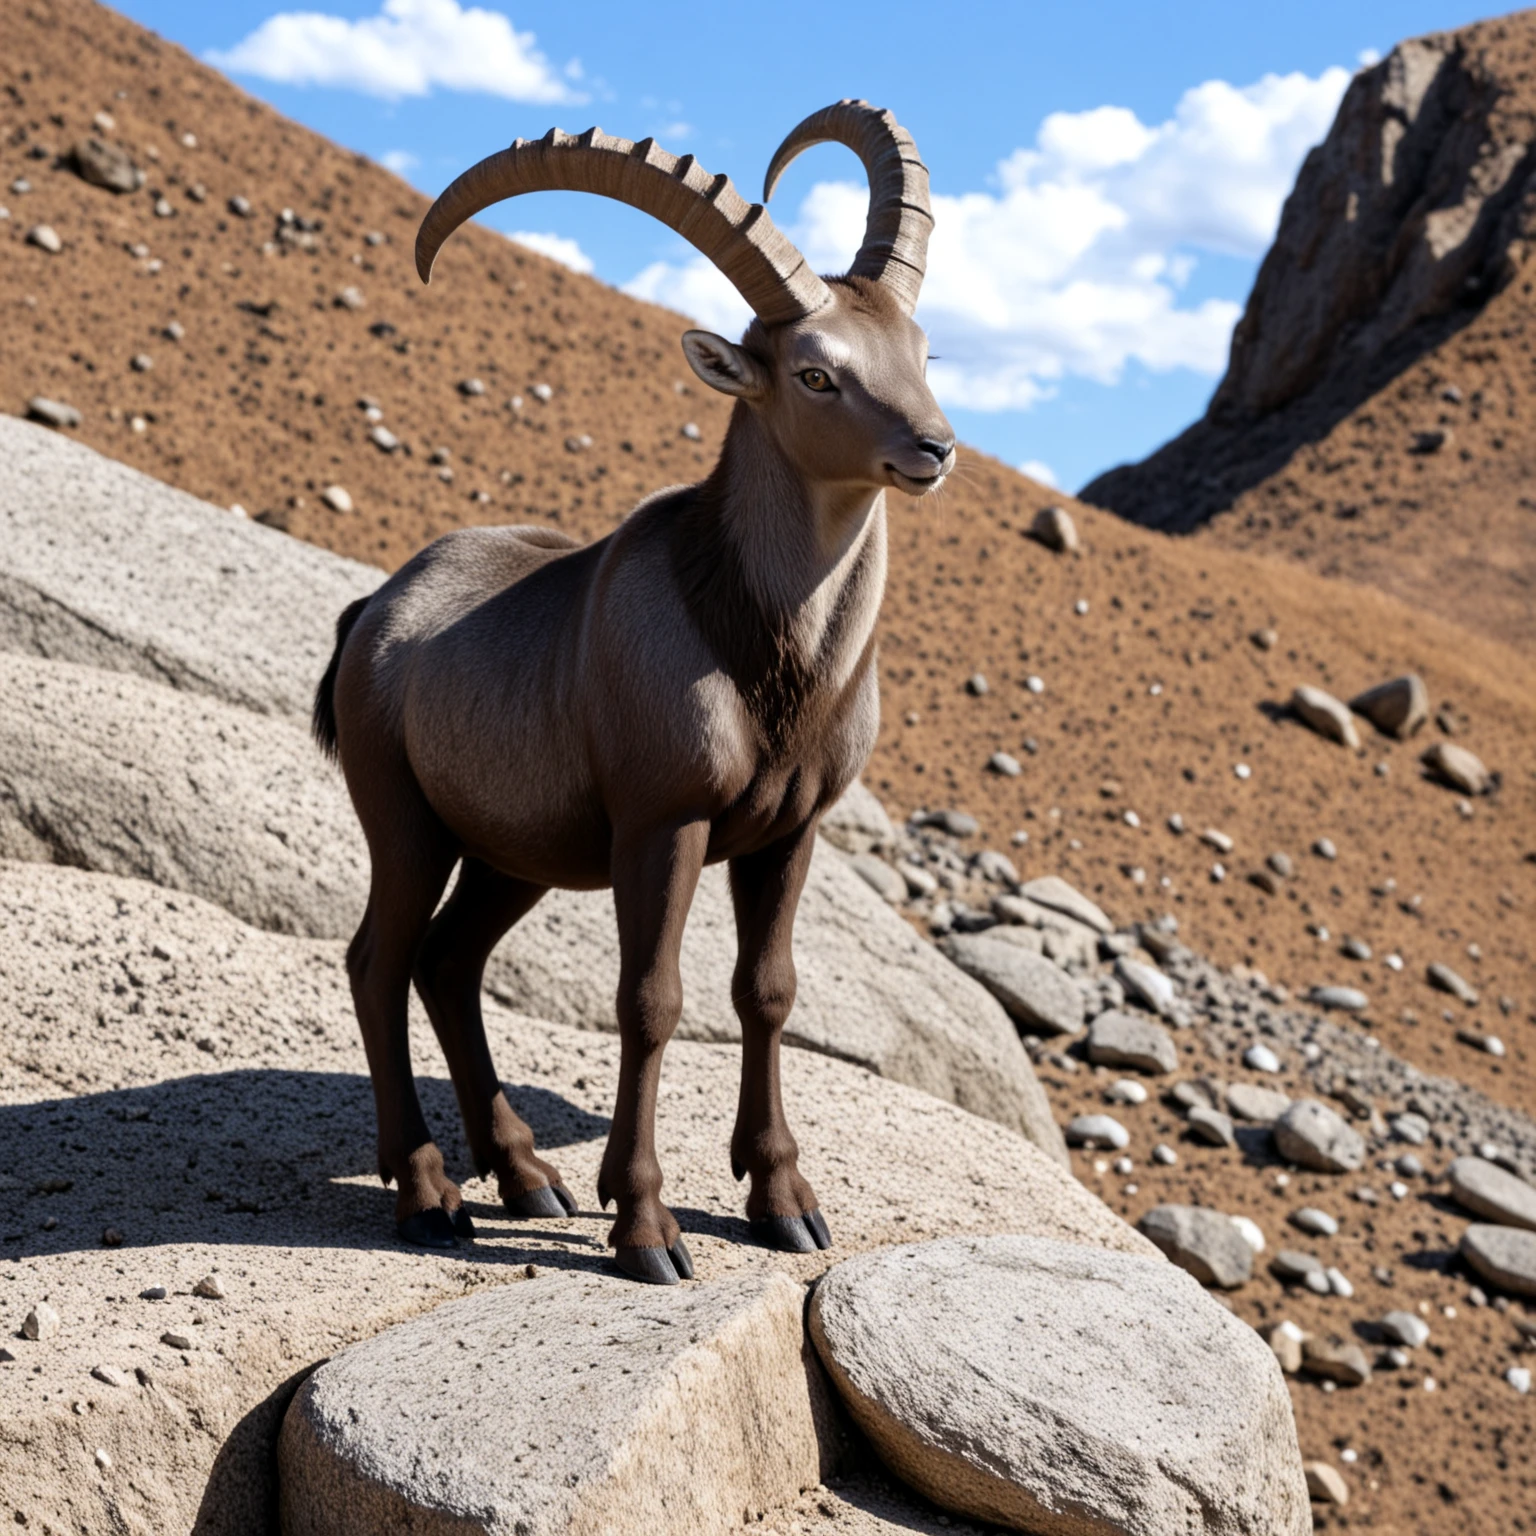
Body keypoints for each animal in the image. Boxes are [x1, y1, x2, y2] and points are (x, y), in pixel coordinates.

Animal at [315, 101, 954, 1284]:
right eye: (814, 374)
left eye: (922, 350)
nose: (933, 448)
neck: (761, 651)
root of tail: (376, 609)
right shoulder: (665, 824)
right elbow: (652, 1001)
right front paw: (647, 1227)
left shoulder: (788, 832)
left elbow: (767, 991)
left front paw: (783, 1201)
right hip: (406, 819)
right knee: (379, 959)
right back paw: (428, 1195)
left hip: (513, 852)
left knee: (448, 959)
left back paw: (527, 1173)